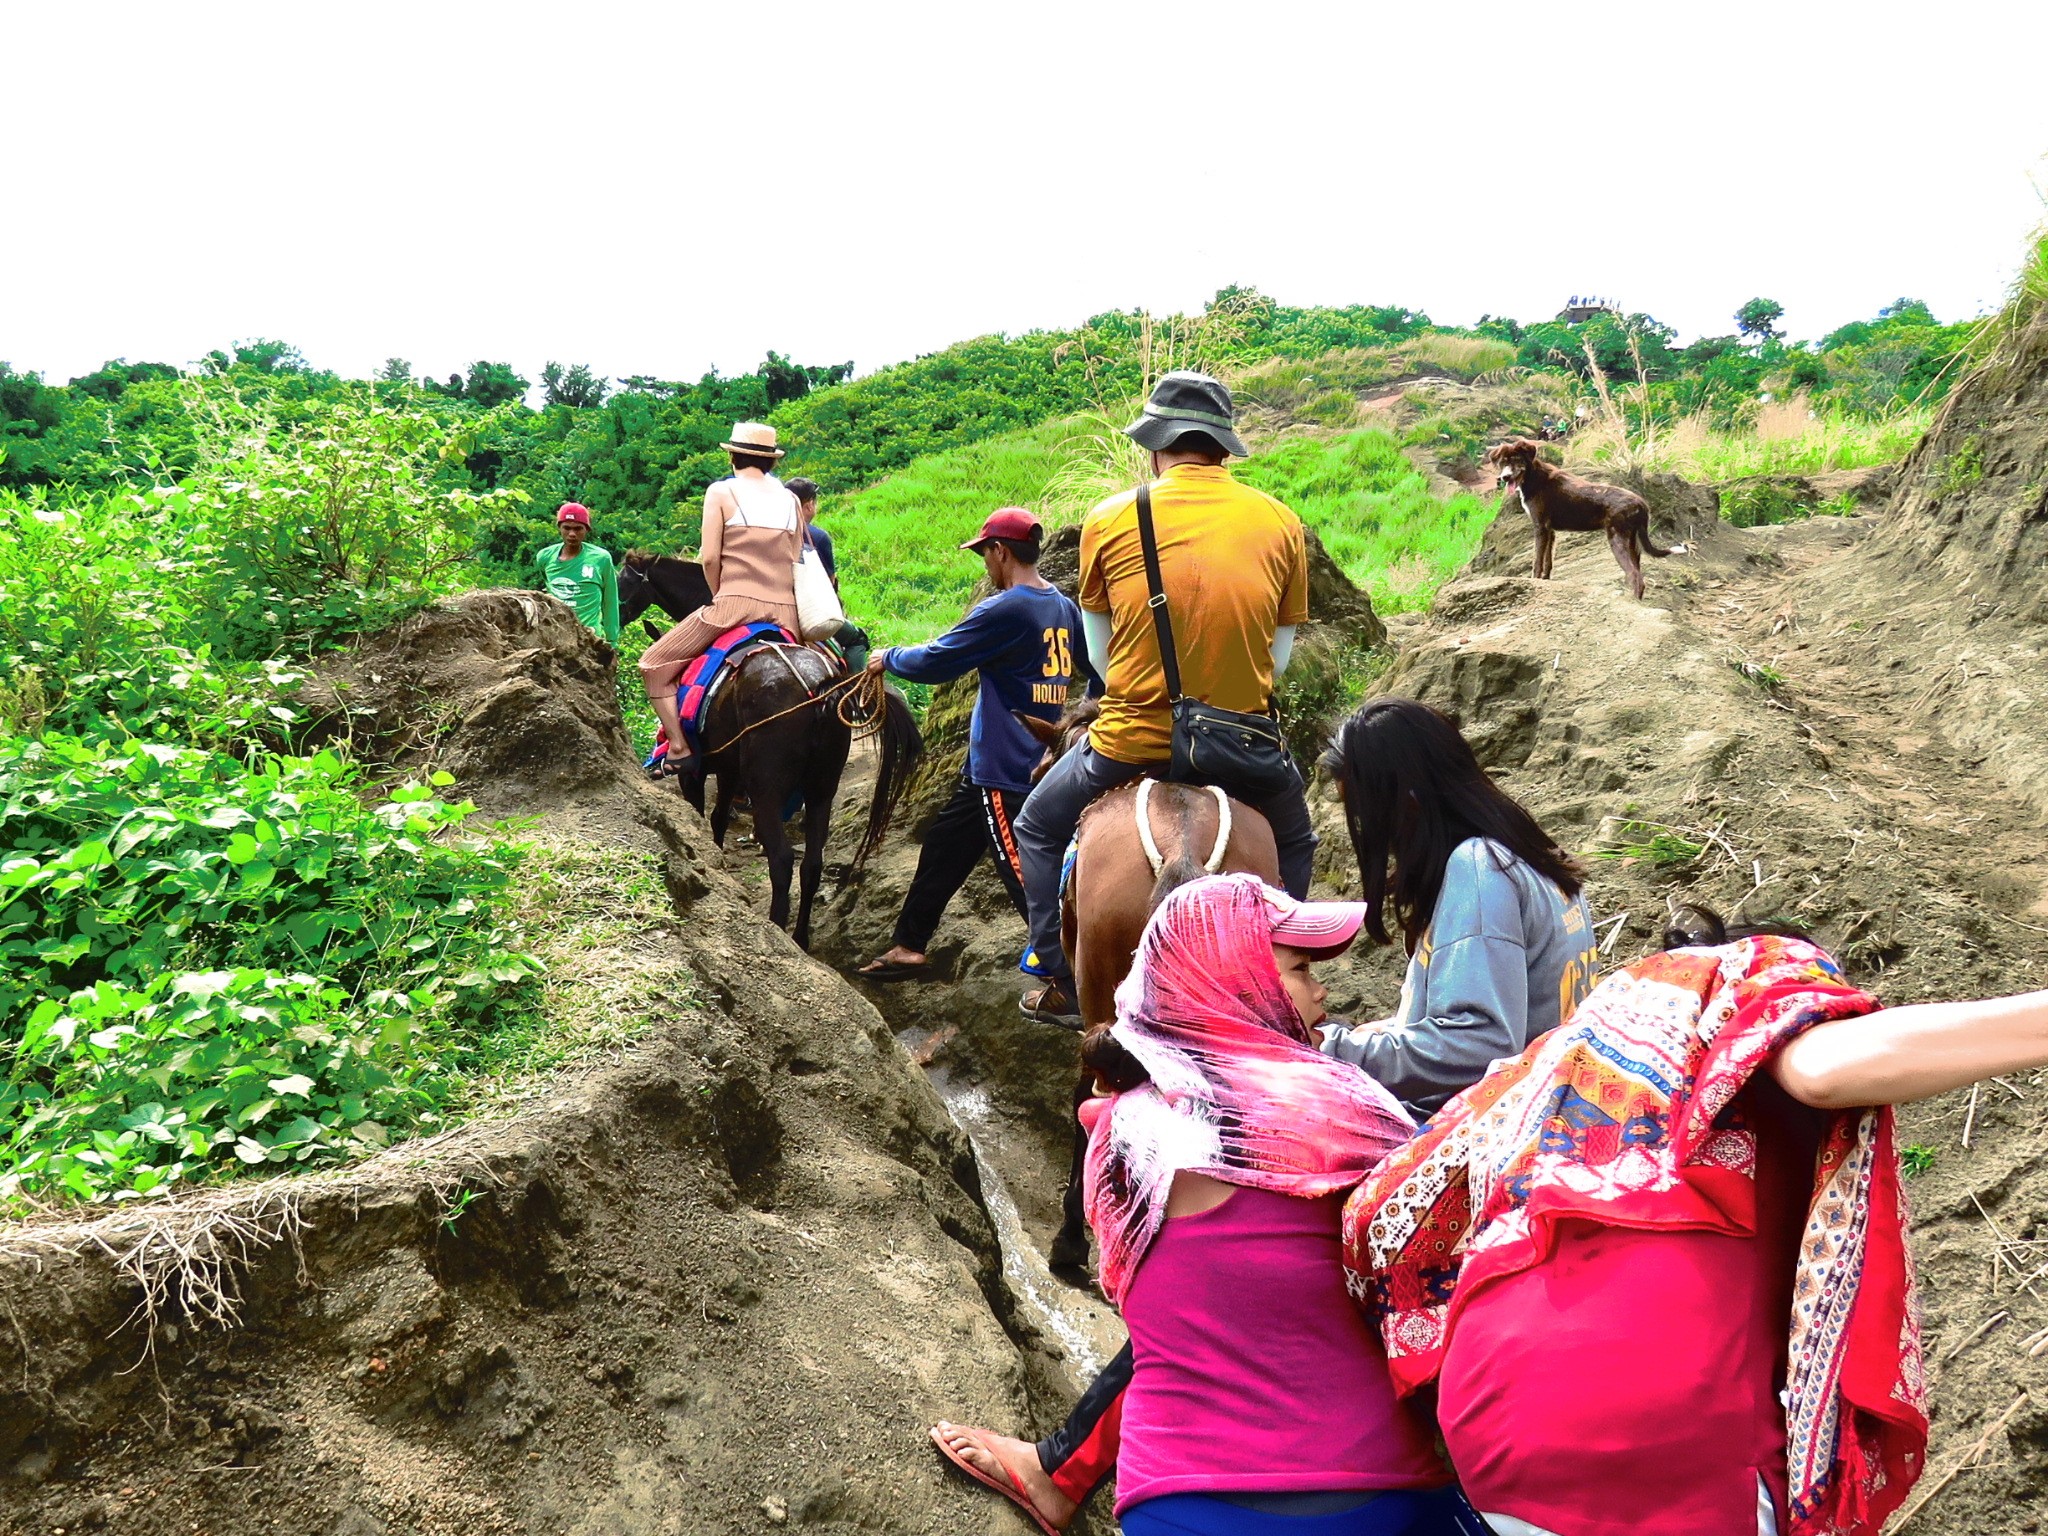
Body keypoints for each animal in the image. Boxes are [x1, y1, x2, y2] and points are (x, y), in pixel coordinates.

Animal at [614, 552, 921, 950]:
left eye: (622, 580)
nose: (611, 613)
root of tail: (817, 688)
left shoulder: (695, 772)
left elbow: (698, 817)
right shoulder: (730, 770)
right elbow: (717, 818)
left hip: (767, 789)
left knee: (782, 860)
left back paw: (778, 927)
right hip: (821, 788)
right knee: (812, 864)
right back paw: (801, 936)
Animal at [1490, 438, 1679, 602]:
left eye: (1517, 459)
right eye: (1503, 462)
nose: (1505, 477)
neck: (1533, 476)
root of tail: (1642, 503)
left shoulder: (1540, 527)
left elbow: (1537, 561)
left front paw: (1534, 580)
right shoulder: (1550, 531)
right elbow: (1548, 561)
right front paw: (1545, 580)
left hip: (1617, 540)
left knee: (1634, 575)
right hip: (1633, 544)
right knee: (1638, 574)